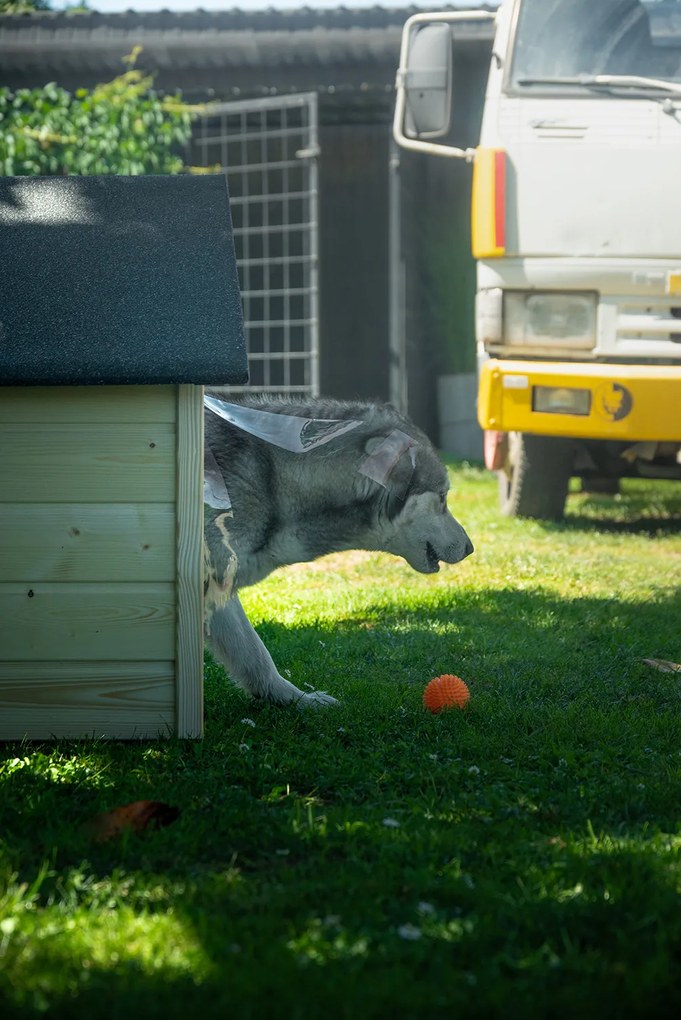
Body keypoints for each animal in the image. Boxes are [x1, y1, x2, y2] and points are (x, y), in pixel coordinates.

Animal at [201, 393, 473, 705]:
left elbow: (256, 656)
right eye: (442, 498)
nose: (470, 548)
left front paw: (296, 700)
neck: (273, 483)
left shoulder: (218, 593)